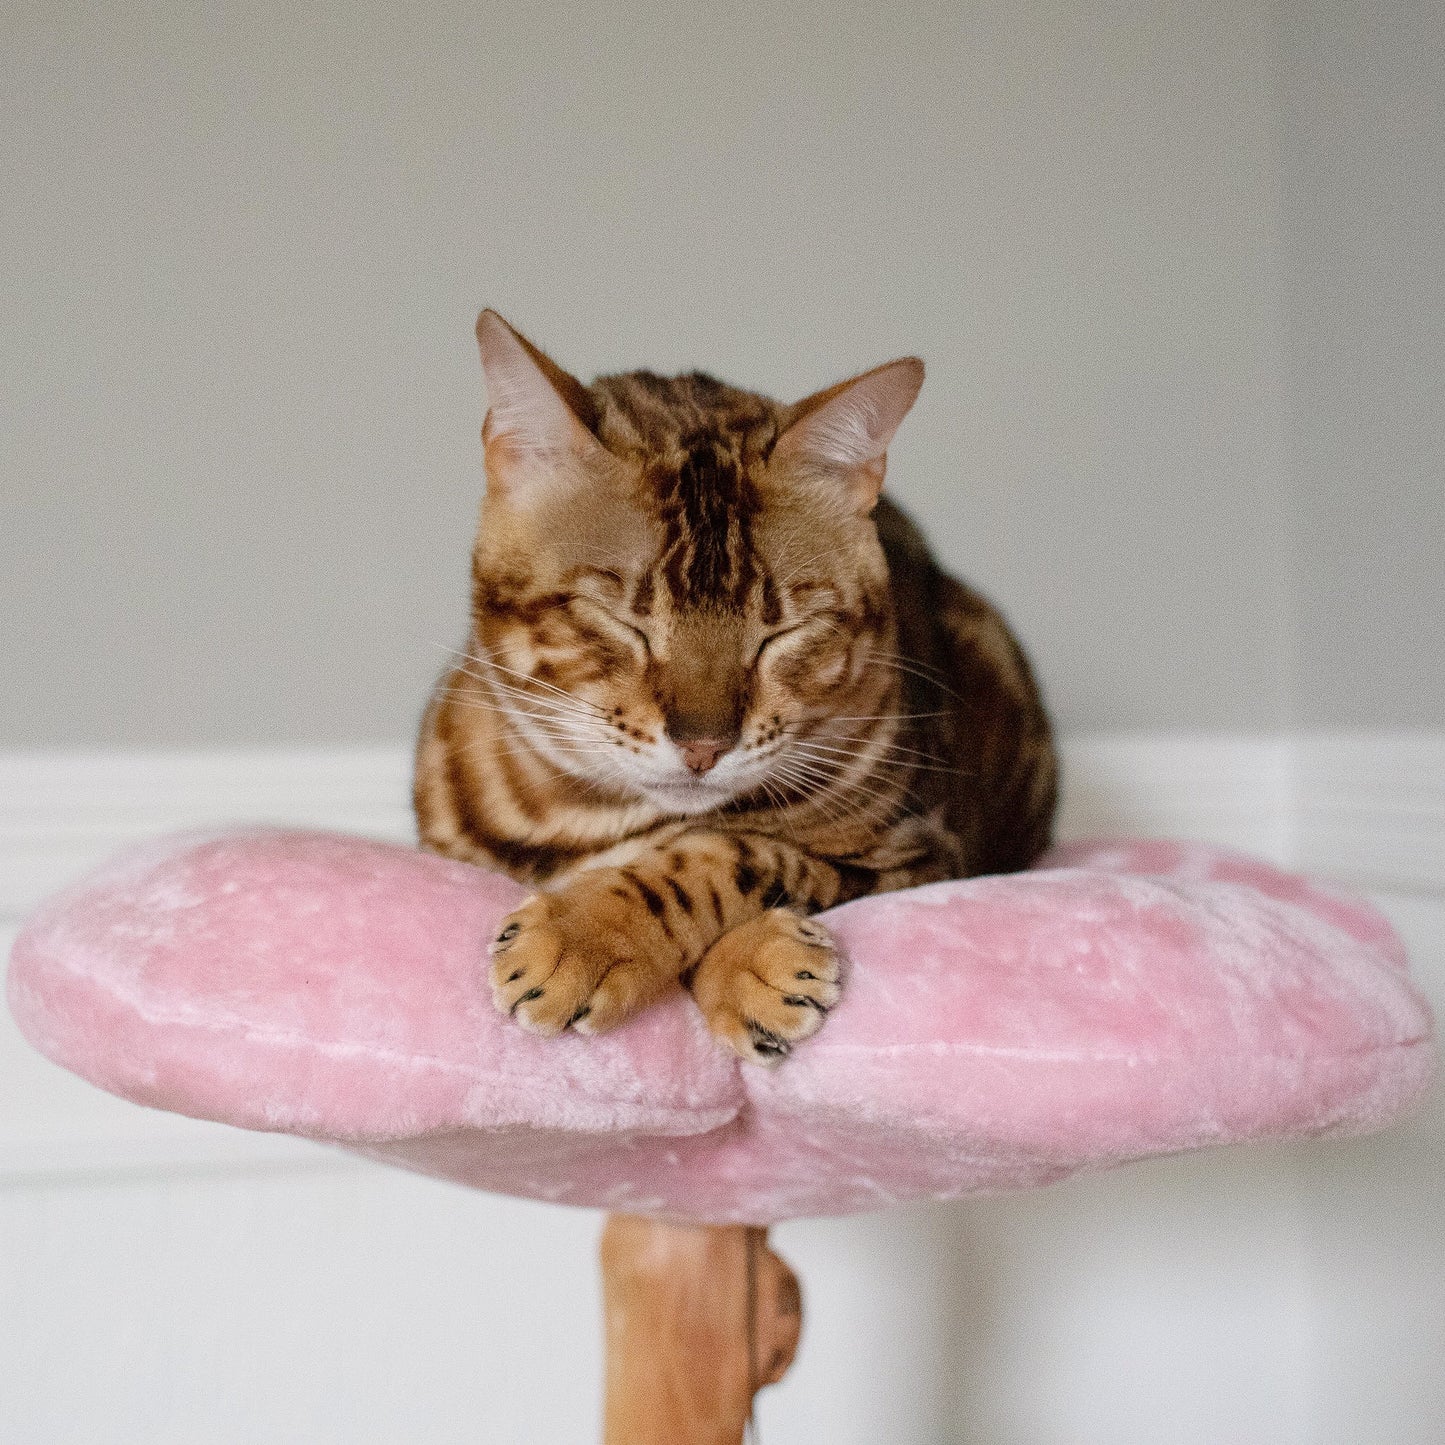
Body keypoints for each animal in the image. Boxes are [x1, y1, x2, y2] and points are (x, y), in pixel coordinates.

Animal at [413, 313, 1057, 1063]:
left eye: (779, 633)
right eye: (620, 619)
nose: (703, 746)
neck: (598, 817)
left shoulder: (923, 856)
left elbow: (742, 851)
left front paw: (599, 931)